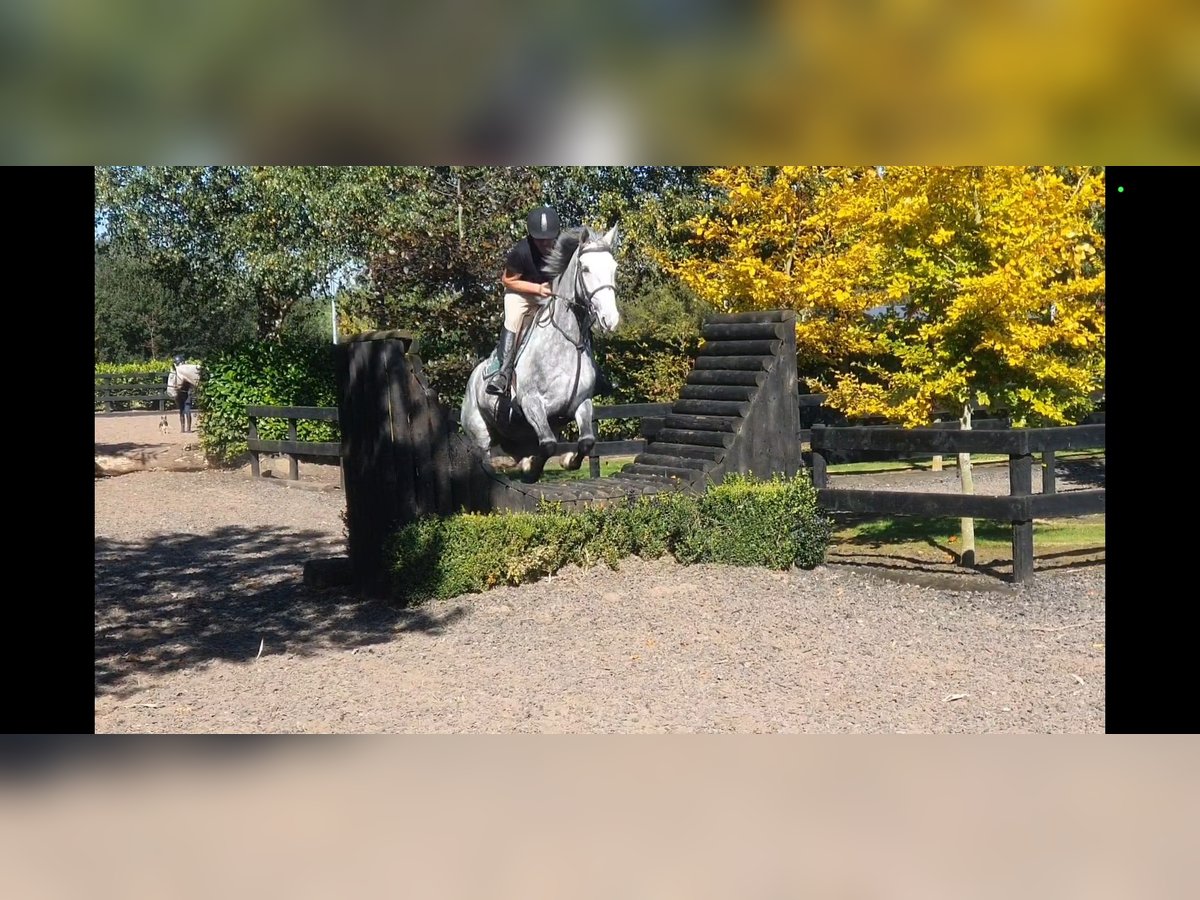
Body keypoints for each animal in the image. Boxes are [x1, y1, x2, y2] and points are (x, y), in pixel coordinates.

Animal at [460, 225, 624, 487]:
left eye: (614, 268)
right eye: (585, 269)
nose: (610, 319)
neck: (567, 343)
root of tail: (474, 376)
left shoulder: (581, 402)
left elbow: (586, 441)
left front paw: (566, 461)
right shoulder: (531, 402)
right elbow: (547, 445)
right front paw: (532, 469)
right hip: (479, 430)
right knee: (484, 455)